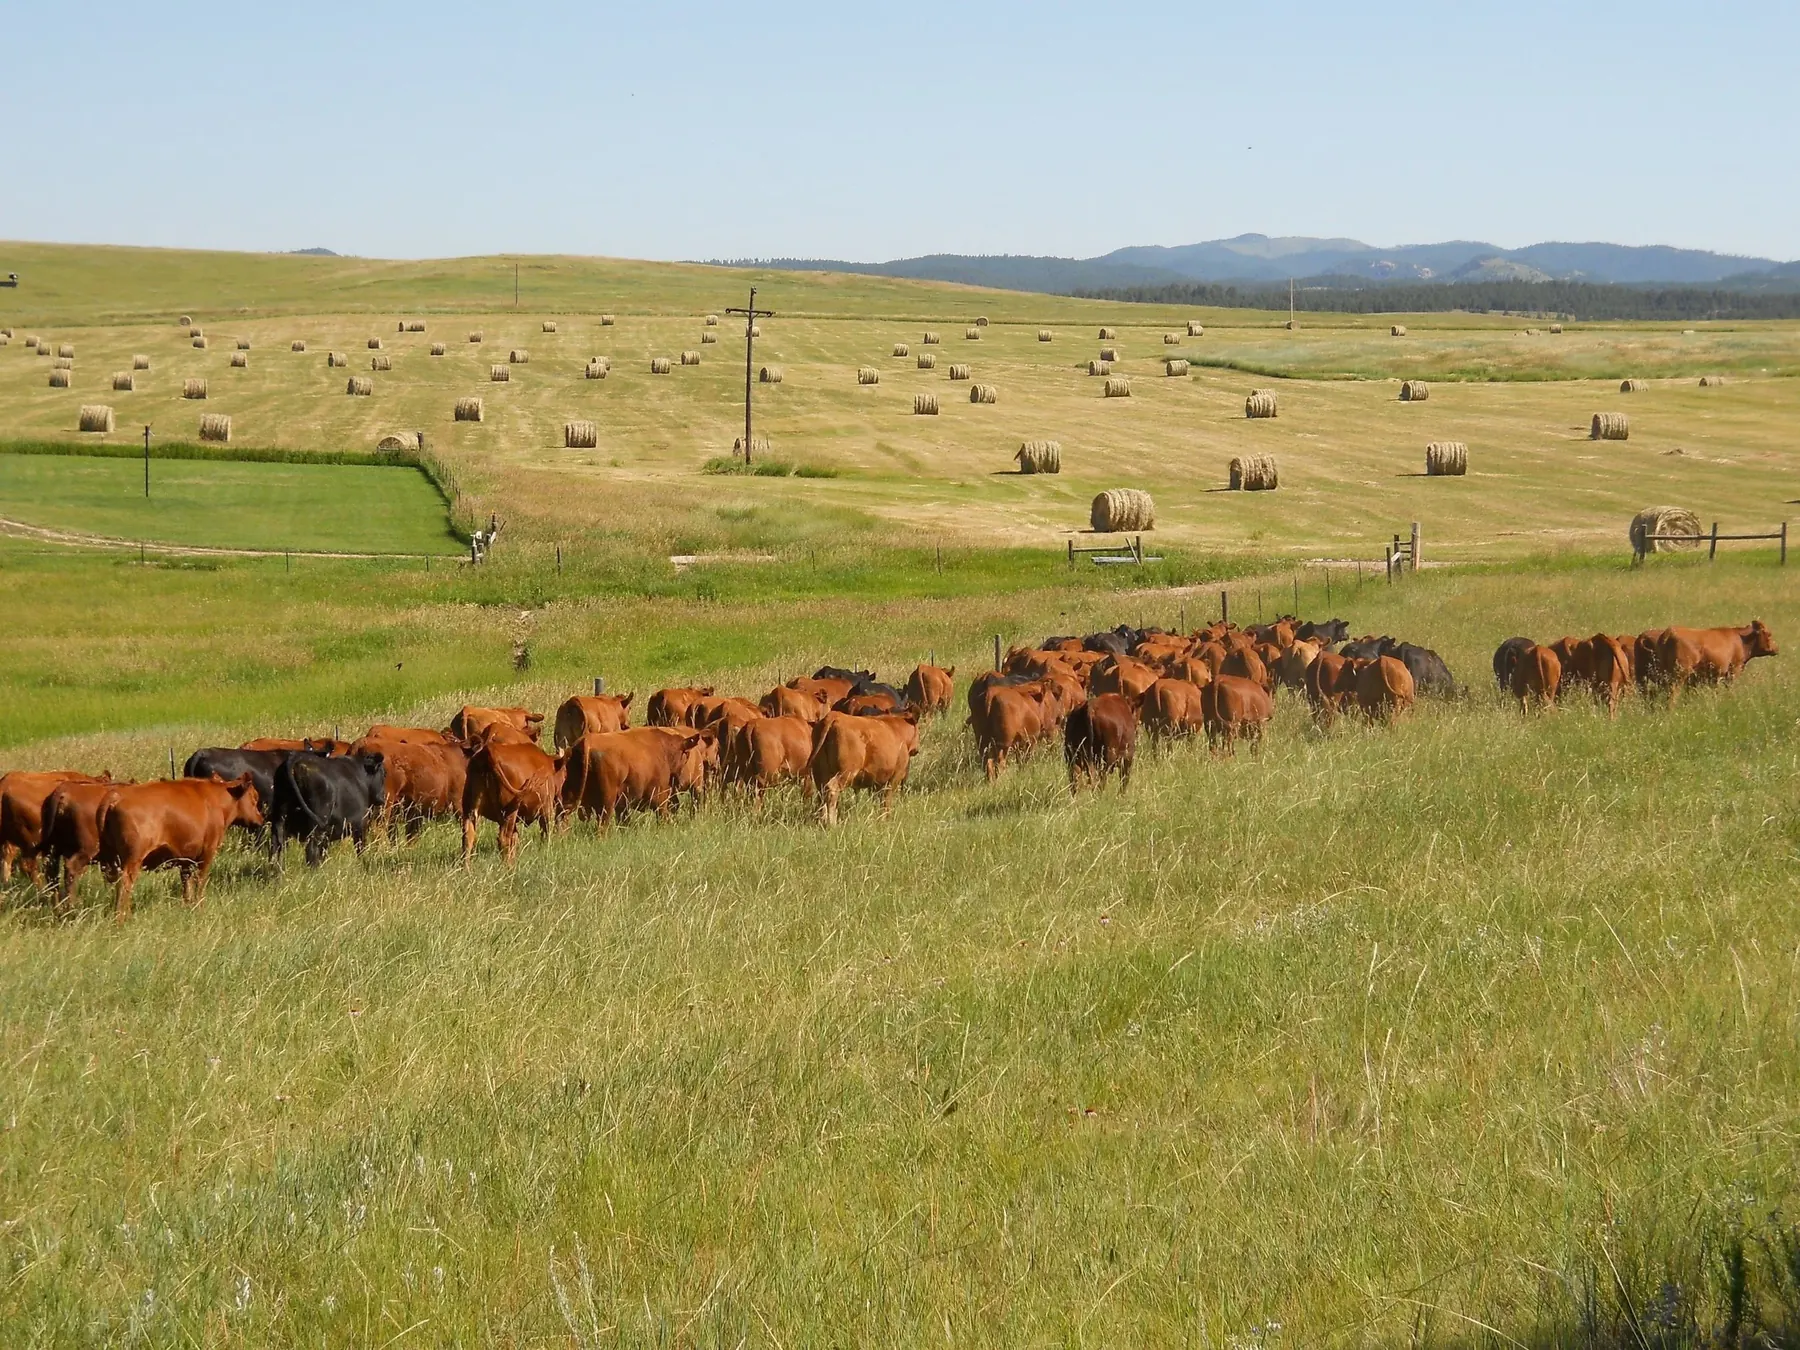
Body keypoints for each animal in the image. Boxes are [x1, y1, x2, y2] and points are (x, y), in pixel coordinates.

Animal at [95, 775, 263, 919]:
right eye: (254, 797)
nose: (260, 819)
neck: (217, 800)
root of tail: (117, 795)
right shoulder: (207, 854)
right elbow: (200, 883)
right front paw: (200, 908)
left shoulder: (186, 859)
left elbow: (186, 885)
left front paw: (188, 907)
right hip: (133, 859)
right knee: (125, 884)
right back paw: (123, 918)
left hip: (112, 860)